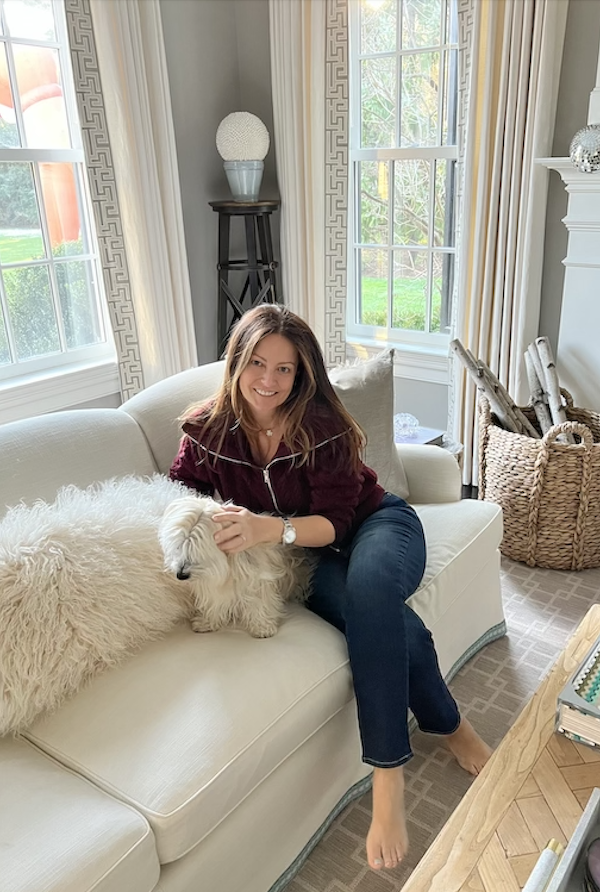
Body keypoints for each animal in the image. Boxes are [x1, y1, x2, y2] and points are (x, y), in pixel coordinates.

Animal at [159, 498, 314, 636]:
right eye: (178, 546)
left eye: (198, 550)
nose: (180, 575)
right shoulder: (214, 588)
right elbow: (215, 603)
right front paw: (208, 622)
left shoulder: (257, 581)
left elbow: (259, 601)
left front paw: (262, 627)